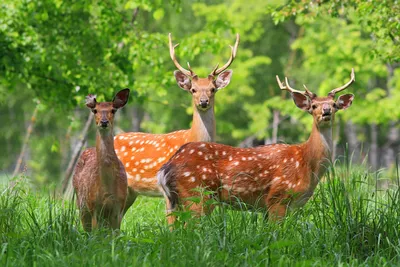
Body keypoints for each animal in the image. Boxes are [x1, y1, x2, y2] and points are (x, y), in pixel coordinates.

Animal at [72, 89, 130, 231]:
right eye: (95, 110)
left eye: (113, 110)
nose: (104, 122)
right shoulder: (94, 207)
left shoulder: (119, 207)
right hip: (81, 204)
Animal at [157, 68, 356, 224]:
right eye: (313, 106)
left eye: (334, 104)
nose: (326, 111)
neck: (307, 163)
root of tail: (168, 166)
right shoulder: (278, 197)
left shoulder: (291, 206)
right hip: (197, 193)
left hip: (177, 200)